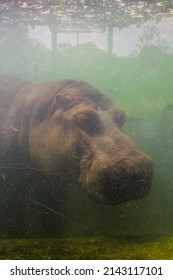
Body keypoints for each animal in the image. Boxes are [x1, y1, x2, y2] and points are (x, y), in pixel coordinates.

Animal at [0, 76, 153, 236]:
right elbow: (14, 214)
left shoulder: (52, 182)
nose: (137, 167)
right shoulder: (12, 180)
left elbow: (52, 216)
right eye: (83, 117)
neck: (32, 114)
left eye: (121, 115)